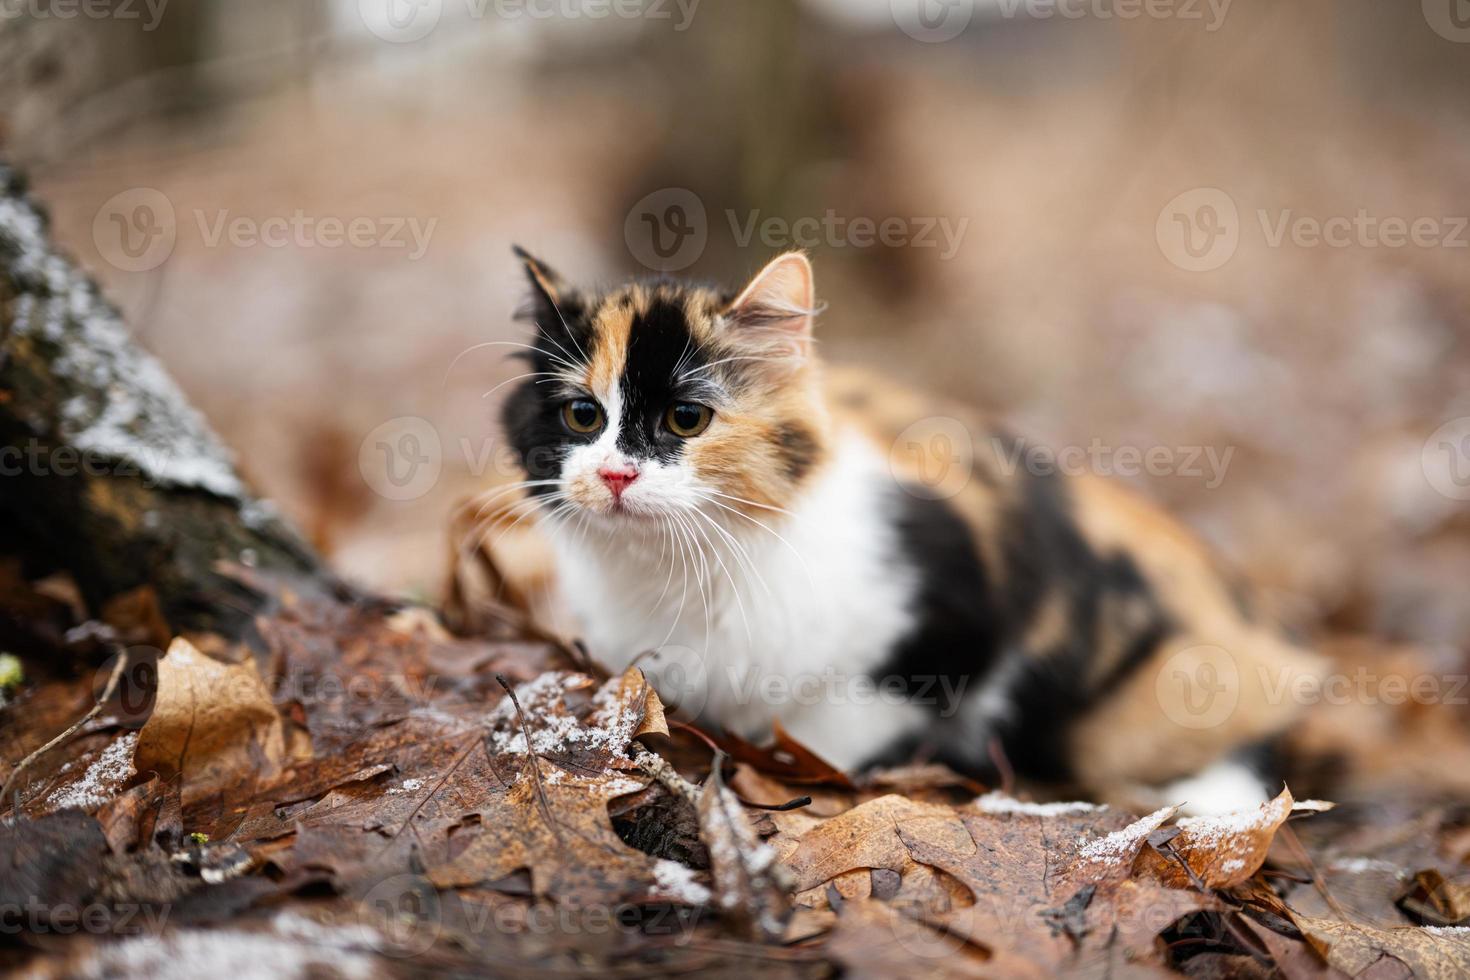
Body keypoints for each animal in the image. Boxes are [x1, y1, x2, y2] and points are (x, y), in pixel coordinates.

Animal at [493, 251, 1323, 811]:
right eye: (582, 416)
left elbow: (841, 722)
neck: (675, 570)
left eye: (687, 419)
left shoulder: (945, 617)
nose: (615, 474)